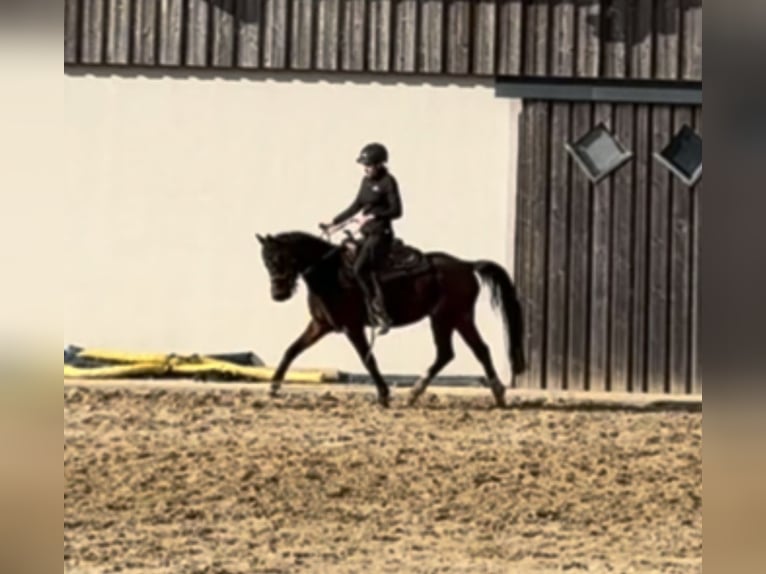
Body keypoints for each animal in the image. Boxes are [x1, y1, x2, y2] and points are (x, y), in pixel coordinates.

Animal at [258, 230, 528, 410]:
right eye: (265, 262)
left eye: (279, 259)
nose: (278, 294)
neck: (332, 274)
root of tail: (467, 264)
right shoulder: (320, 325)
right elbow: (292, 350)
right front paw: (273, 386)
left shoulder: (353, 327)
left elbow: (368, 360)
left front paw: (384, 394)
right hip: (458, 318)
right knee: (470, 351)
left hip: (446, 318)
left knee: (456, 352)